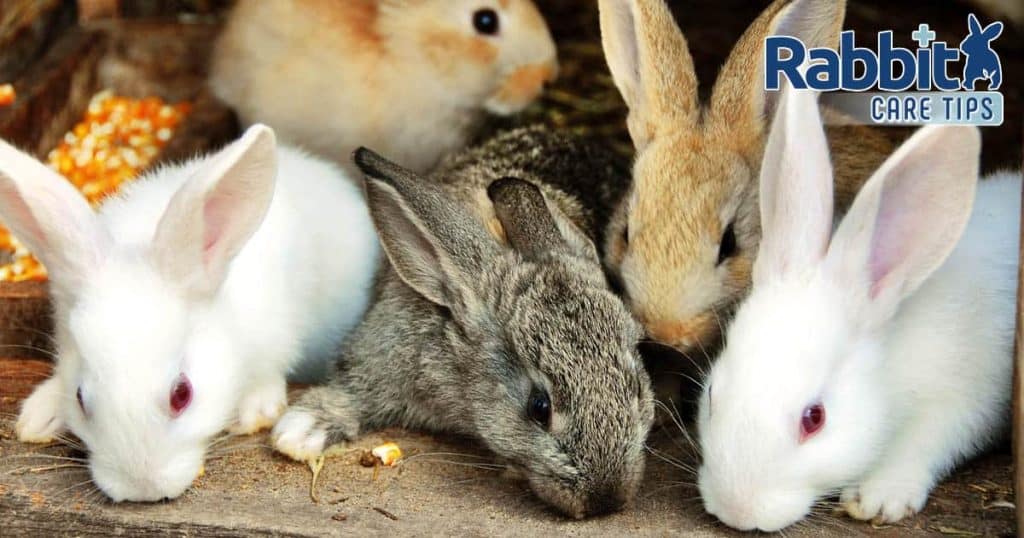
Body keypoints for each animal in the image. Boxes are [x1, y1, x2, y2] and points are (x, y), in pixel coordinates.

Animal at [695, 87, 1020, 532]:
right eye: (712, 392)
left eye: (815, 418)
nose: (737, 512)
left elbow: (924, 442)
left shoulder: (964, 400)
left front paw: (878, 497)